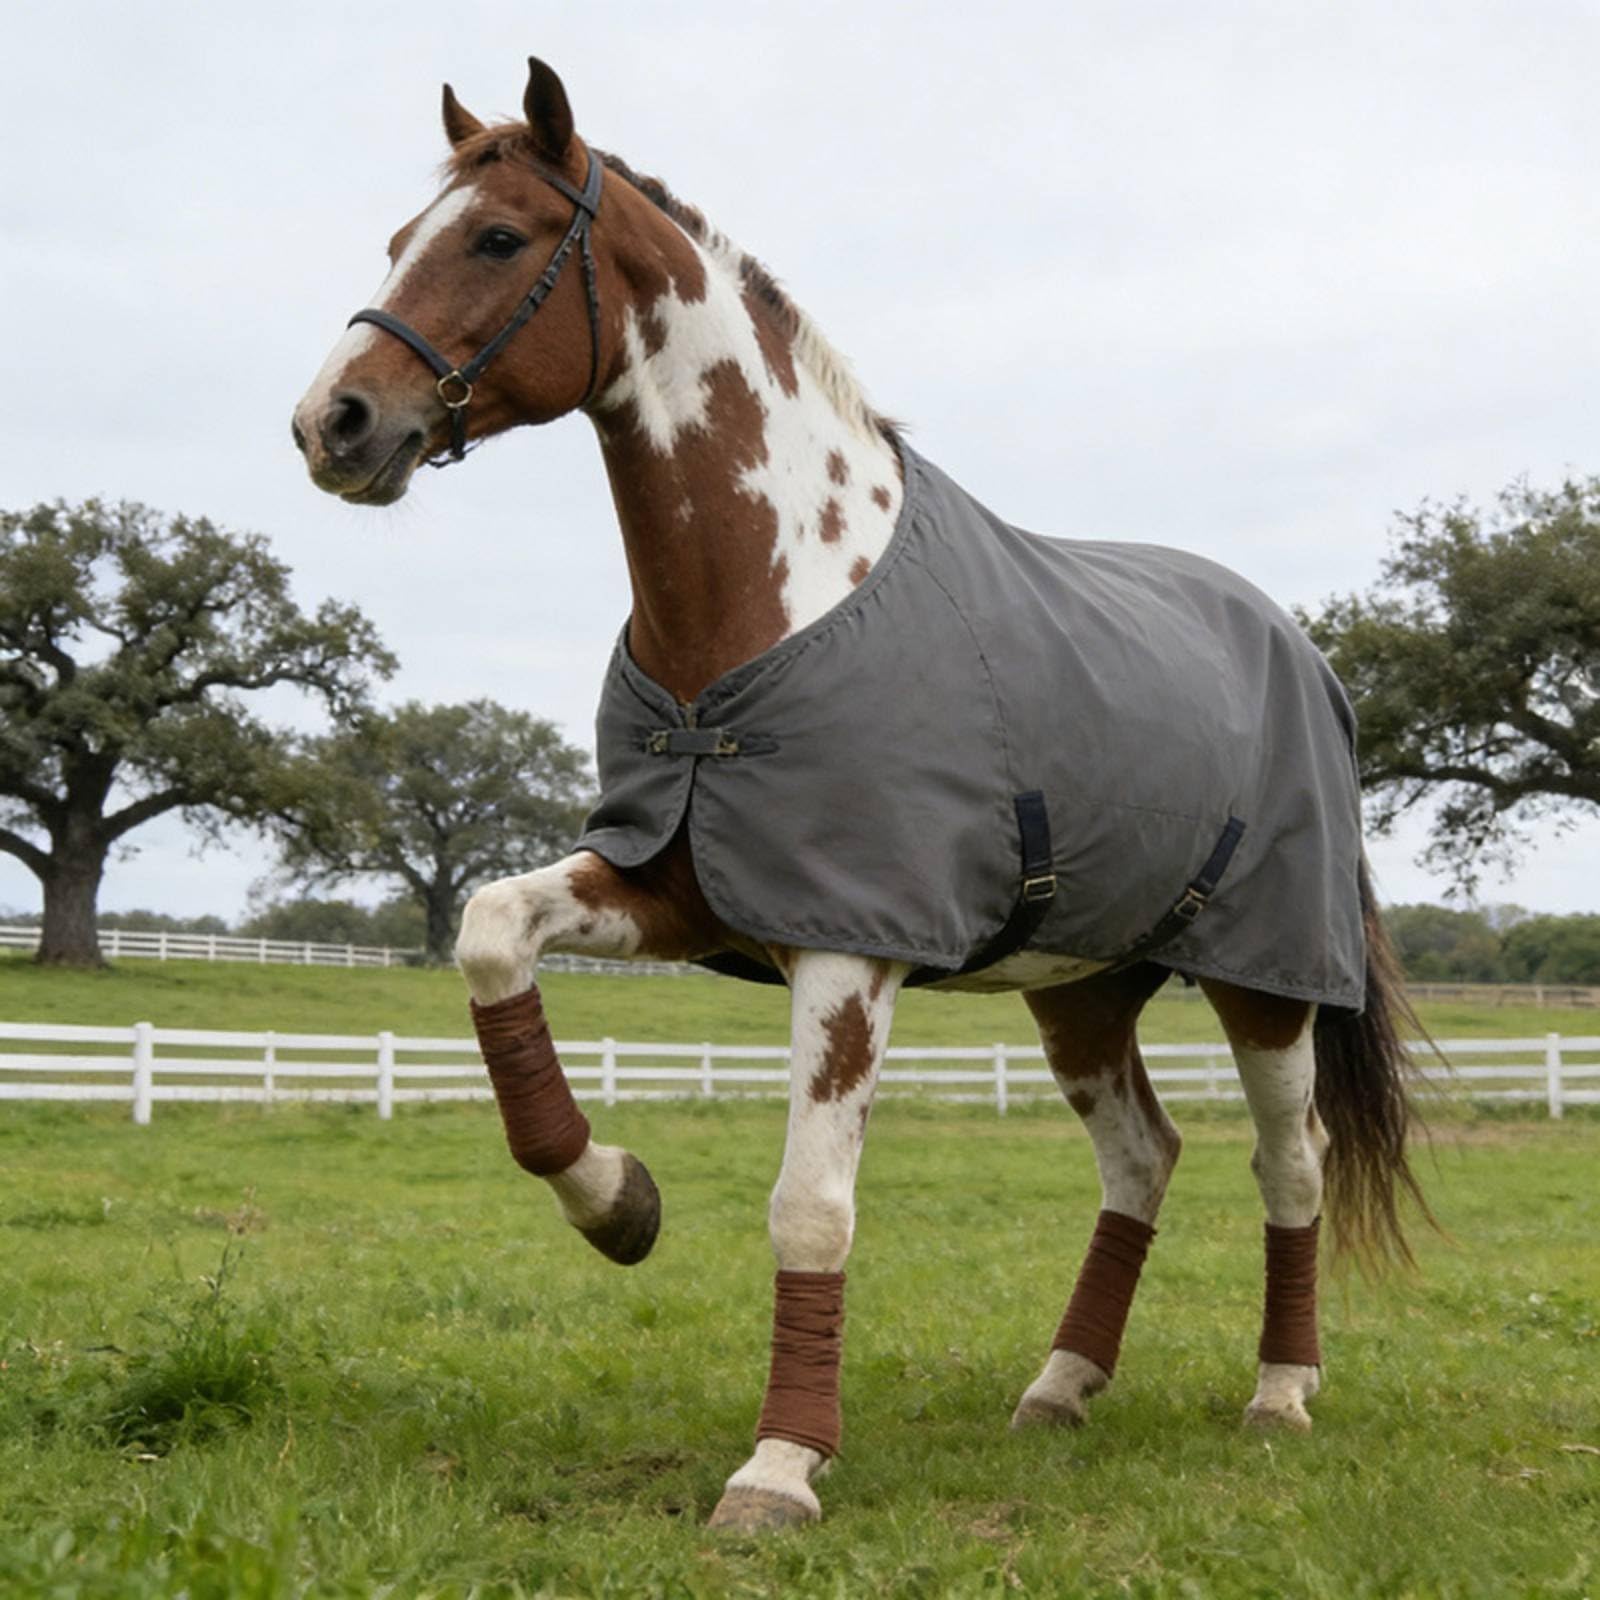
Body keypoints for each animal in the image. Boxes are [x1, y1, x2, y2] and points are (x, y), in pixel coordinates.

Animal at [291, 57, 1429, 1533]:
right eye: (396, 241)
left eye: (494, 237)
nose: (333, 423)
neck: (771, 600)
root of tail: (1295, 645)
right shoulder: (680, 888)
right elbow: (490, 932)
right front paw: (616, 1202)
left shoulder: (850, 949)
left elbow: (811, 1206)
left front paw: (779, 1467)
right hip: (1081, 989)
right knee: (1143, 1157)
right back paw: (1060, 1387)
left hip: (1265, 980)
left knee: (1291, 1164)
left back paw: (1280, 1393)